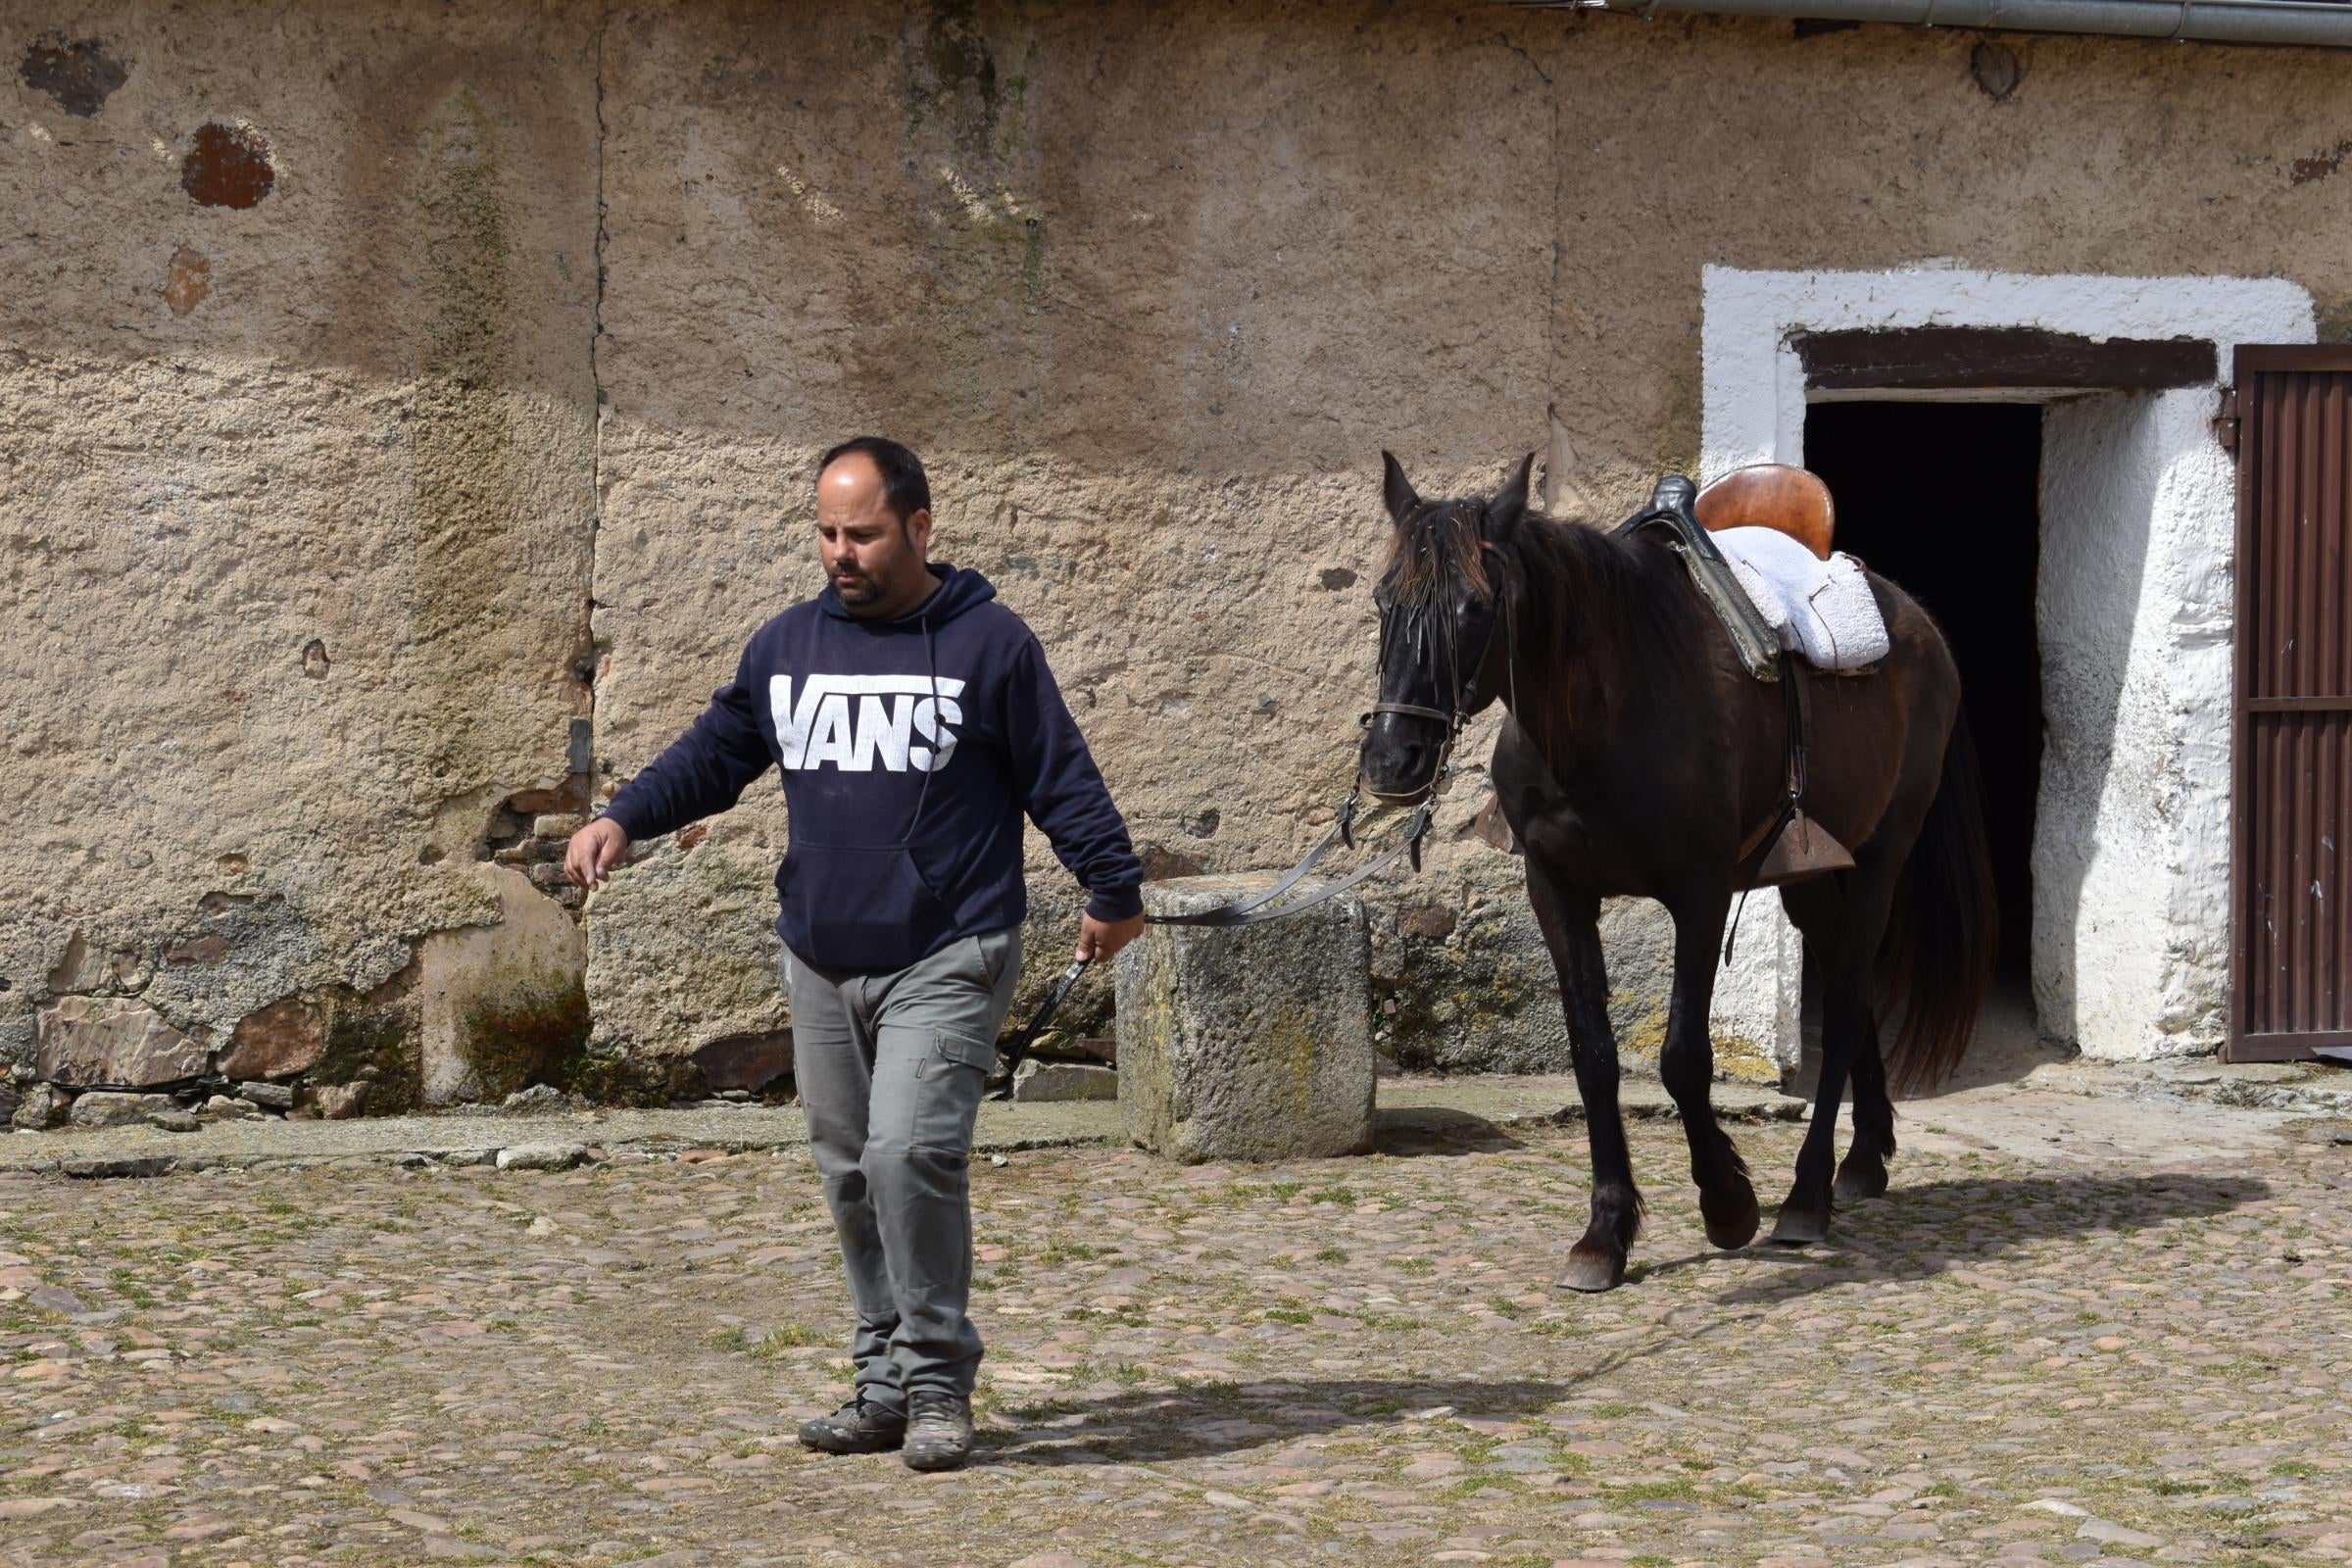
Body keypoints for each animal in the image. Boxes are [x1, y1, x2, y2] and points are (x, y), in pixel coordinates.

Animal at [1354, 451, 1994, 1288]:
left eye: (1474, 608)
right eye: (1382, 599)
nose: (1391, 759)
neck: (1600, 720)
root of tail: (1919, 623)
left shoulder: (1700, 891)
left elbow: (1684, 1057)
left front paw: (1728, 1204)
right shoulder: (1557, 891)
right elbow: (1593, 1056)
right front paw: (1605, 1233)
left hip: (1881, 859)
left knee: (1849, 998)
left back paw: (1808, 1195)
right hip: (1812, 876)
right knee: (1844, 986)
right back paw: (1863, 1160)